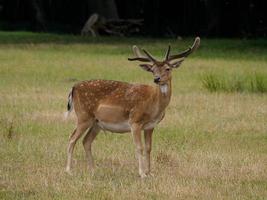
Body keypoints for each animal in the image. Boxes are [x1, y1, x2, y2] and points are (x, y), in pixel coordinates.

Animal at [65, 36, 201, 177]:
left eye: (168, 68)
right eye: (153, 70)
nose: (157, 79)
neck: (154, 105)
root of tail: (73, 88)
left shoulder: (150, 126)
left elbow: (148, 148)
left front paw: (149, 172)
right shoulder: (135, 121)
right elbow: (139, 147)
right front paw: (142, 173)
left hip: (96, 123)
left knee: (86, 141)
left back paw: (93, 170)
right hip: (83, 116)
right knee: (71, 138)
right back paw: (69, 170)